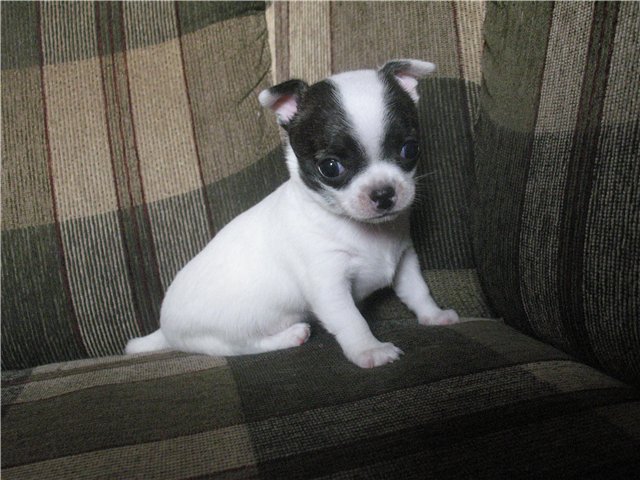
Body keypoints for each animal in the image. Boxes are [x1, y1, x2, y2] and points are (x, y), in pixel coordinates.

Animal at [125, 59, 459, 368]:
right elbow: (351, 320)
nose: (383, 193)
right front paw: (369, 350)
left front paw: (434, 316)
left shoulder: (404, 260)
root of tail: (165, 330)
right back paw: (291, 335)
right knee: (246, 347)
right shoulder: (328, 285)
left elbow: (417, 290)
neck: (364, 230)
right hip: (220, 339)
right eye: (330, 167)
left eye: (410, 149)